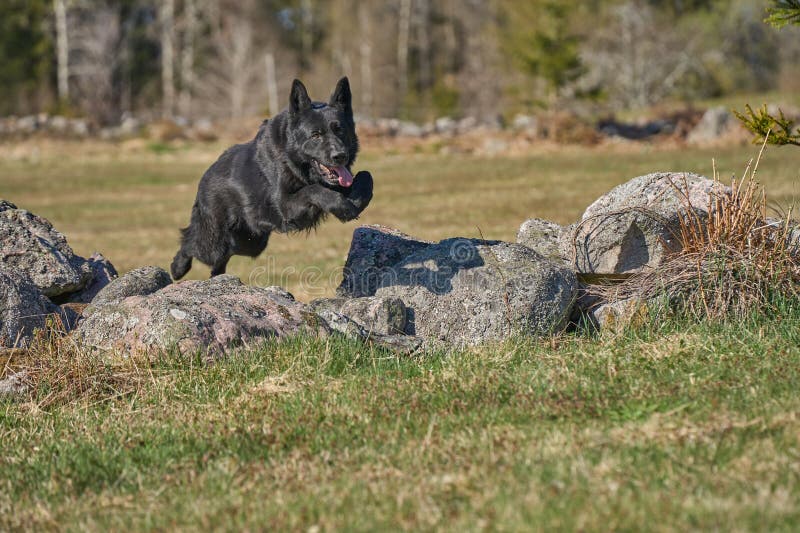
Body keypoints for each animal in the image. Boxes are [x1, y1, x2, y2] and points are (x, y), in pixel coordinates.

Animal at [172, 78, 372, 278]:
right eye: (316, 135)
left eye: (340, 130)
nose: (340, 156)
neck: (292, 158)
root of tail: (207, 174)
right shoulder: (286, 206)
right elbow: (313, 189)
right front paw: (343, 207)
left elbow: (366, 176)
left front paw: (357, 201)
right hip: (215, 242)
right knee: (191, 243)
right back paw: (178, 267)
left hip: (250, 243)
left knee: (222, 257)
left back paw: (218, 276)